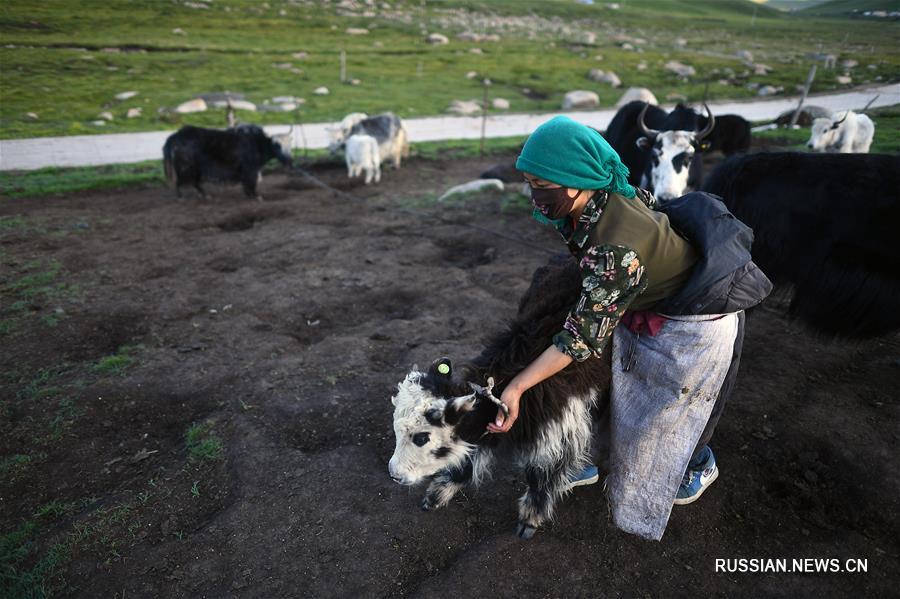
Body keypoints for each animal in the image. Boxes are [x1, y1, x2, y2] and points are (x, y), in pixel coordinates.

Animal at [160, 125, 290, 200]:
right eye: (277, 146)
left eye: (289, 145)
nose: (289, 160)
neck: (259, 143)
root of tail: (175, 136)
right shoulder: (250, 169)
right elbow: (251, 183)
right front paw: (256, 196)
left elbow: (248, 183)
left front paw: (251, 195)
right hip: (186, 167)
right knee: (181, 181)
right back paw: (181, 196)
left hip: (195, 169)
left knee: (194, 182)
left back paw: (205, 195)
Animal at [386, 258, 612, 540]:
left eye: (421, 438)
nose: (394, 474)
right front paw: (437, 495)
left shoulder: (561, 424)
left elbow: (543, 471)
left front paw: (530, 519)